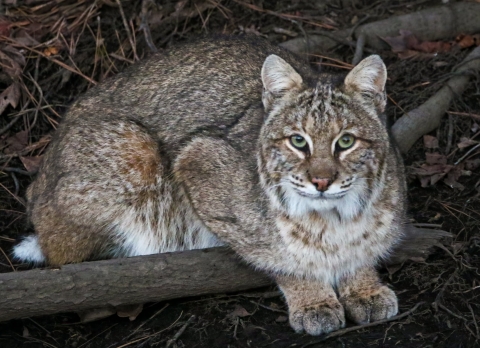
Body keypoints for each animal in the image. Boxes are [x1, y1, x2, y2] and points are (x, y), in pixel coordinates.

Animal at [13, 36, 404, 338]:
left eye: (346, 142)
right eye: (297, 141)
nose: (321, 182)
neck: (331, 215)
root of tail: (37, 183)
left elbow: (363, 245)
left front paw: (364, 287)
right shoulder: (196, 156)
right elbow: (281, 253)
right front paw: (313, 297)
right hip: (135, 150)